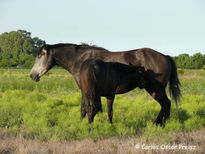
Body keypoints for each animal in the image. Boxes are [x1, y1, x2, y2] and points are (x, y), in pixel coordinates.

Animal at [30, 41, 181, 126]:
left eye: (40, 56)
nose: (32, 75)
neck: (80, 60)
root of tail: (165, 56)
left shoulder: (86, 91)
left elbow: (85, 109)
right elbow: (87, 109)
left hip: (155, 89)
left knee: (166, 104)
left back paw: (159, 125)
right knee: (165, 105)